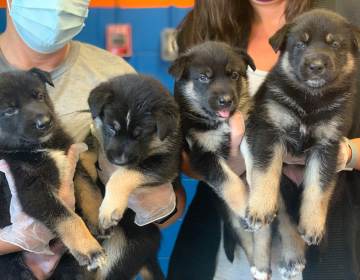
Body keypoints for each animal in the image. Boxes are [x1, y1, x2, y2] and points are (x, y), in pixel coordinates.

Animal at [0, 69, 105, 272]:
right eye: (9, 111)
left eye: (40, 96)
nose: (45, 122)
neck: (40, 147)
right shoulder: (31, 189)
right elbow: (67, 217)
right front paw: (90, 249)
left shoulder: (73, 163)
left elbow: (90, 189)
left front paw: (98, 217)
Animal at [89, 74, 181, 280]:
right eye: (111, 128)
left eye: (140, 135)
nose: (118, 159)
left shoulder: (167, 163)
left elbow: (123, 174)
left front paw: (109, 208)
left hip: (121, 251)